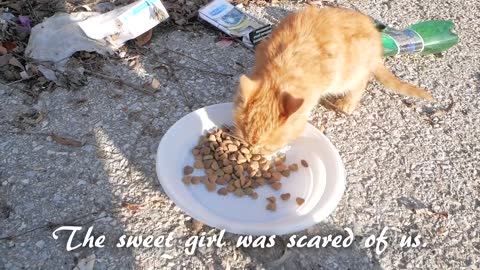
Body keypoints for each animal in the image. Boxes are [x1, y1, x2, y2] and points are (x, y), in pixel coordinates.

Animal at [234, 5, 434, 154]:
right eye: (246, 140)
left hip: (349, 74)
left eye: (267, 147)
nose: (254, 152)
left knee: (361, 82)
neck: (282, 71)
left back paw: (347, 103)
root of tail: (377, 40)